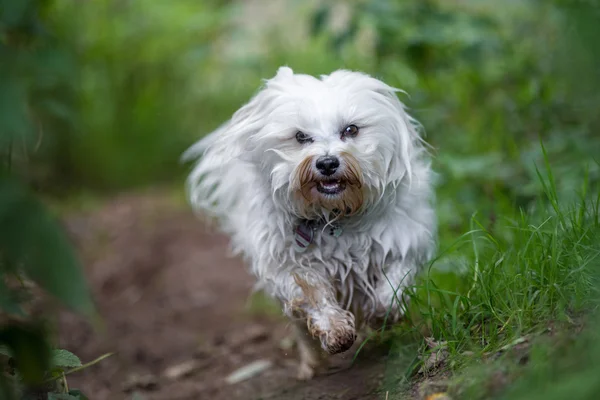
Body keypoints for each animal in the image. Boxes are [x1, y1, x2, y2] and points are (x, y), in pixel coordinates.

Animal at [183, 67, 436, 380]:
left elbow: (392, 286)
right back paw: (312, 363)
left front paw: (381, 314)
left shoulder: (402, 242)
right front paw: (336, 332)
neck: (334, 216)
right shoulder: (291, 267)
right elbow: (314, 296)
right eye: (300, 136)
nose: (327, 163)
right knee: (301, 328)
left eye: (351, 129)